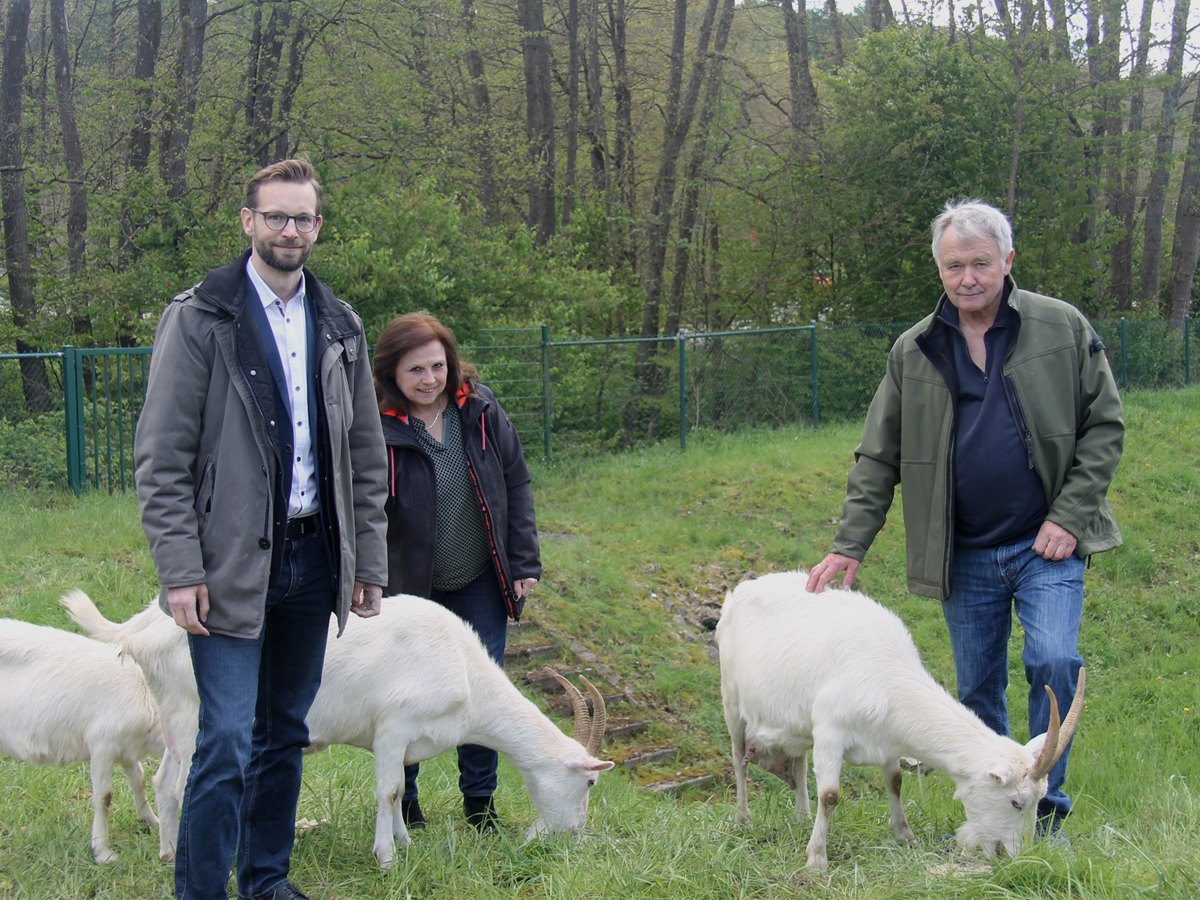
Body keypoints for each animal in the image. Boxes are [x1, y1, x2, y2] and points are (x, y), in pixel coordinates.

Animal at [0, 619, 174, 864]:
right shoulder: (103, 746)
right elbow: (104, 797)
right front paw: (103, 852)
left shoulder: (126, 749)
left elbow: (138, 779)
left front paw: (151, 820)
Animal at [60, 588, 614, 868]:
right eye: (589, 781)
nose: (575, 836)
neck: (463, 670)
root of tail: (140, 630)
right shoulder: (394, 725)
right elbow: (389, 791)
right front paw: (387, 858)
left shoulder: (398, 742)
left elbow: (397, 791)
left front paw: (405, 845)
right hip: (195, 714)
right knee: (179, 786)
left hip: (176, 724)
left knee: (163, 782)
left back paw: (167, 850)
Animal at [710, 573, 1089, 868]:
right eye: (1017, 802)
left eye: (1039, 802)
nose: (1016, 855)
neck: (887, 676)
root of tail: (740, 590)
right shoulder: (830, 733)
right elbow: (830, 795)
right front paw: (816, 858)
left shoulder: (887, 741)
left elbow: (895, 783)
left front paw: (906, 835)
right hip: (731, 699)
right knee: (738, 757)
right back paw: (743, 819)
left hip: (797, 723)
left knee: (799, 765)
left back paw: (803, 819)